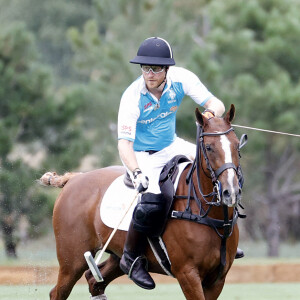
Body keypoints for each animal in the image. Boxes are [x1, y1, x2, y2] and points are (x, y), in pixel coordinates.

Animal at [39, 103, 245, 300]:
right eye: (209, 147)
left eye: (237, 146)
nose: (230, 192)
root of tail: (74, 179)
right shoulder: (187, 274)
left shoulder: (217, 279)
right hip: (72, 260)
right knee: (57, 292)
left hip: (116, 256)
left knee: (94, 280)